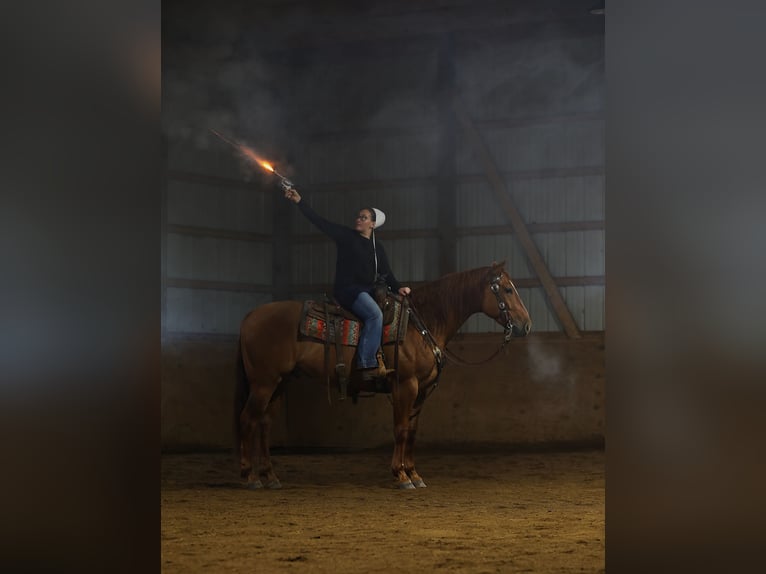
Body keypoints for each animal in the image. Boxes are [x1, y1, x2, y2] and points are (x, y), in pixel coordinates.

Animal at [237, 260, 532, 490]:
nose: (526, 325)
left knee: (265, 423)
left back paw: (271, 476)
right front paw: (401, 475)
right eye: (507, 289)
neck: (421, 323)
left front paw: (414, 473)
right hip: (263, 383)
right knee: (249, 419)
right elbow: (400, 429)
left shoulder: (422, 390)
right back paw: (250, 476)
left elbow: (412, 431)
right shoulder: (405, 385)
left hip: (280, 382)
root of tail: (250, 316)